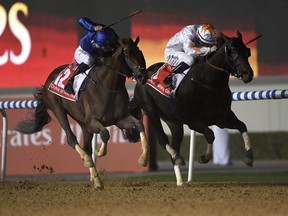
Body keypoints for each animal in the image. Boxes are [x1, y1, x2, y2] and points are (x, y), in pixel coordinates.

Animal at [15, 37, 150, 189]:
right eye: (127, 55)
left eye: (140, 53)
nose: (142, 76)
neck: (107, 86)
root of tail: (49, 78)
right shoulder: (92, 122)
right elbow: (105, 133)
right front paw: (99, 152)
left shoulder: (119, 119)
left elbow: (139, 124)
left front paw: (143, 159)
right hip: (58, 110)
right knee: (71, 139)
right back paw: (87, 161)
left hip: (82, 123)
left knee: (86, 147)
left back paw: (97, 180)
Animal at [128, 31, 254, 185]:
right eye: (232, 52)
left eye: (247, 52)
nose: (248, 74)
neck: (208, 83)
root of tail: (142, 76)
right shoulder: (193, 121)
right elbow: (210, 134)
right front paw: (204, 157)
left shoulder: (221, 118)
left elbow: (242, 126)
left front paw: (249, 157)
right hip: (151, 111)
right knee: (163, 140)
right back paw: (175, 159)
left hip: (174, 122)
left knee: (175, 145)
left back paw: (180, 180)